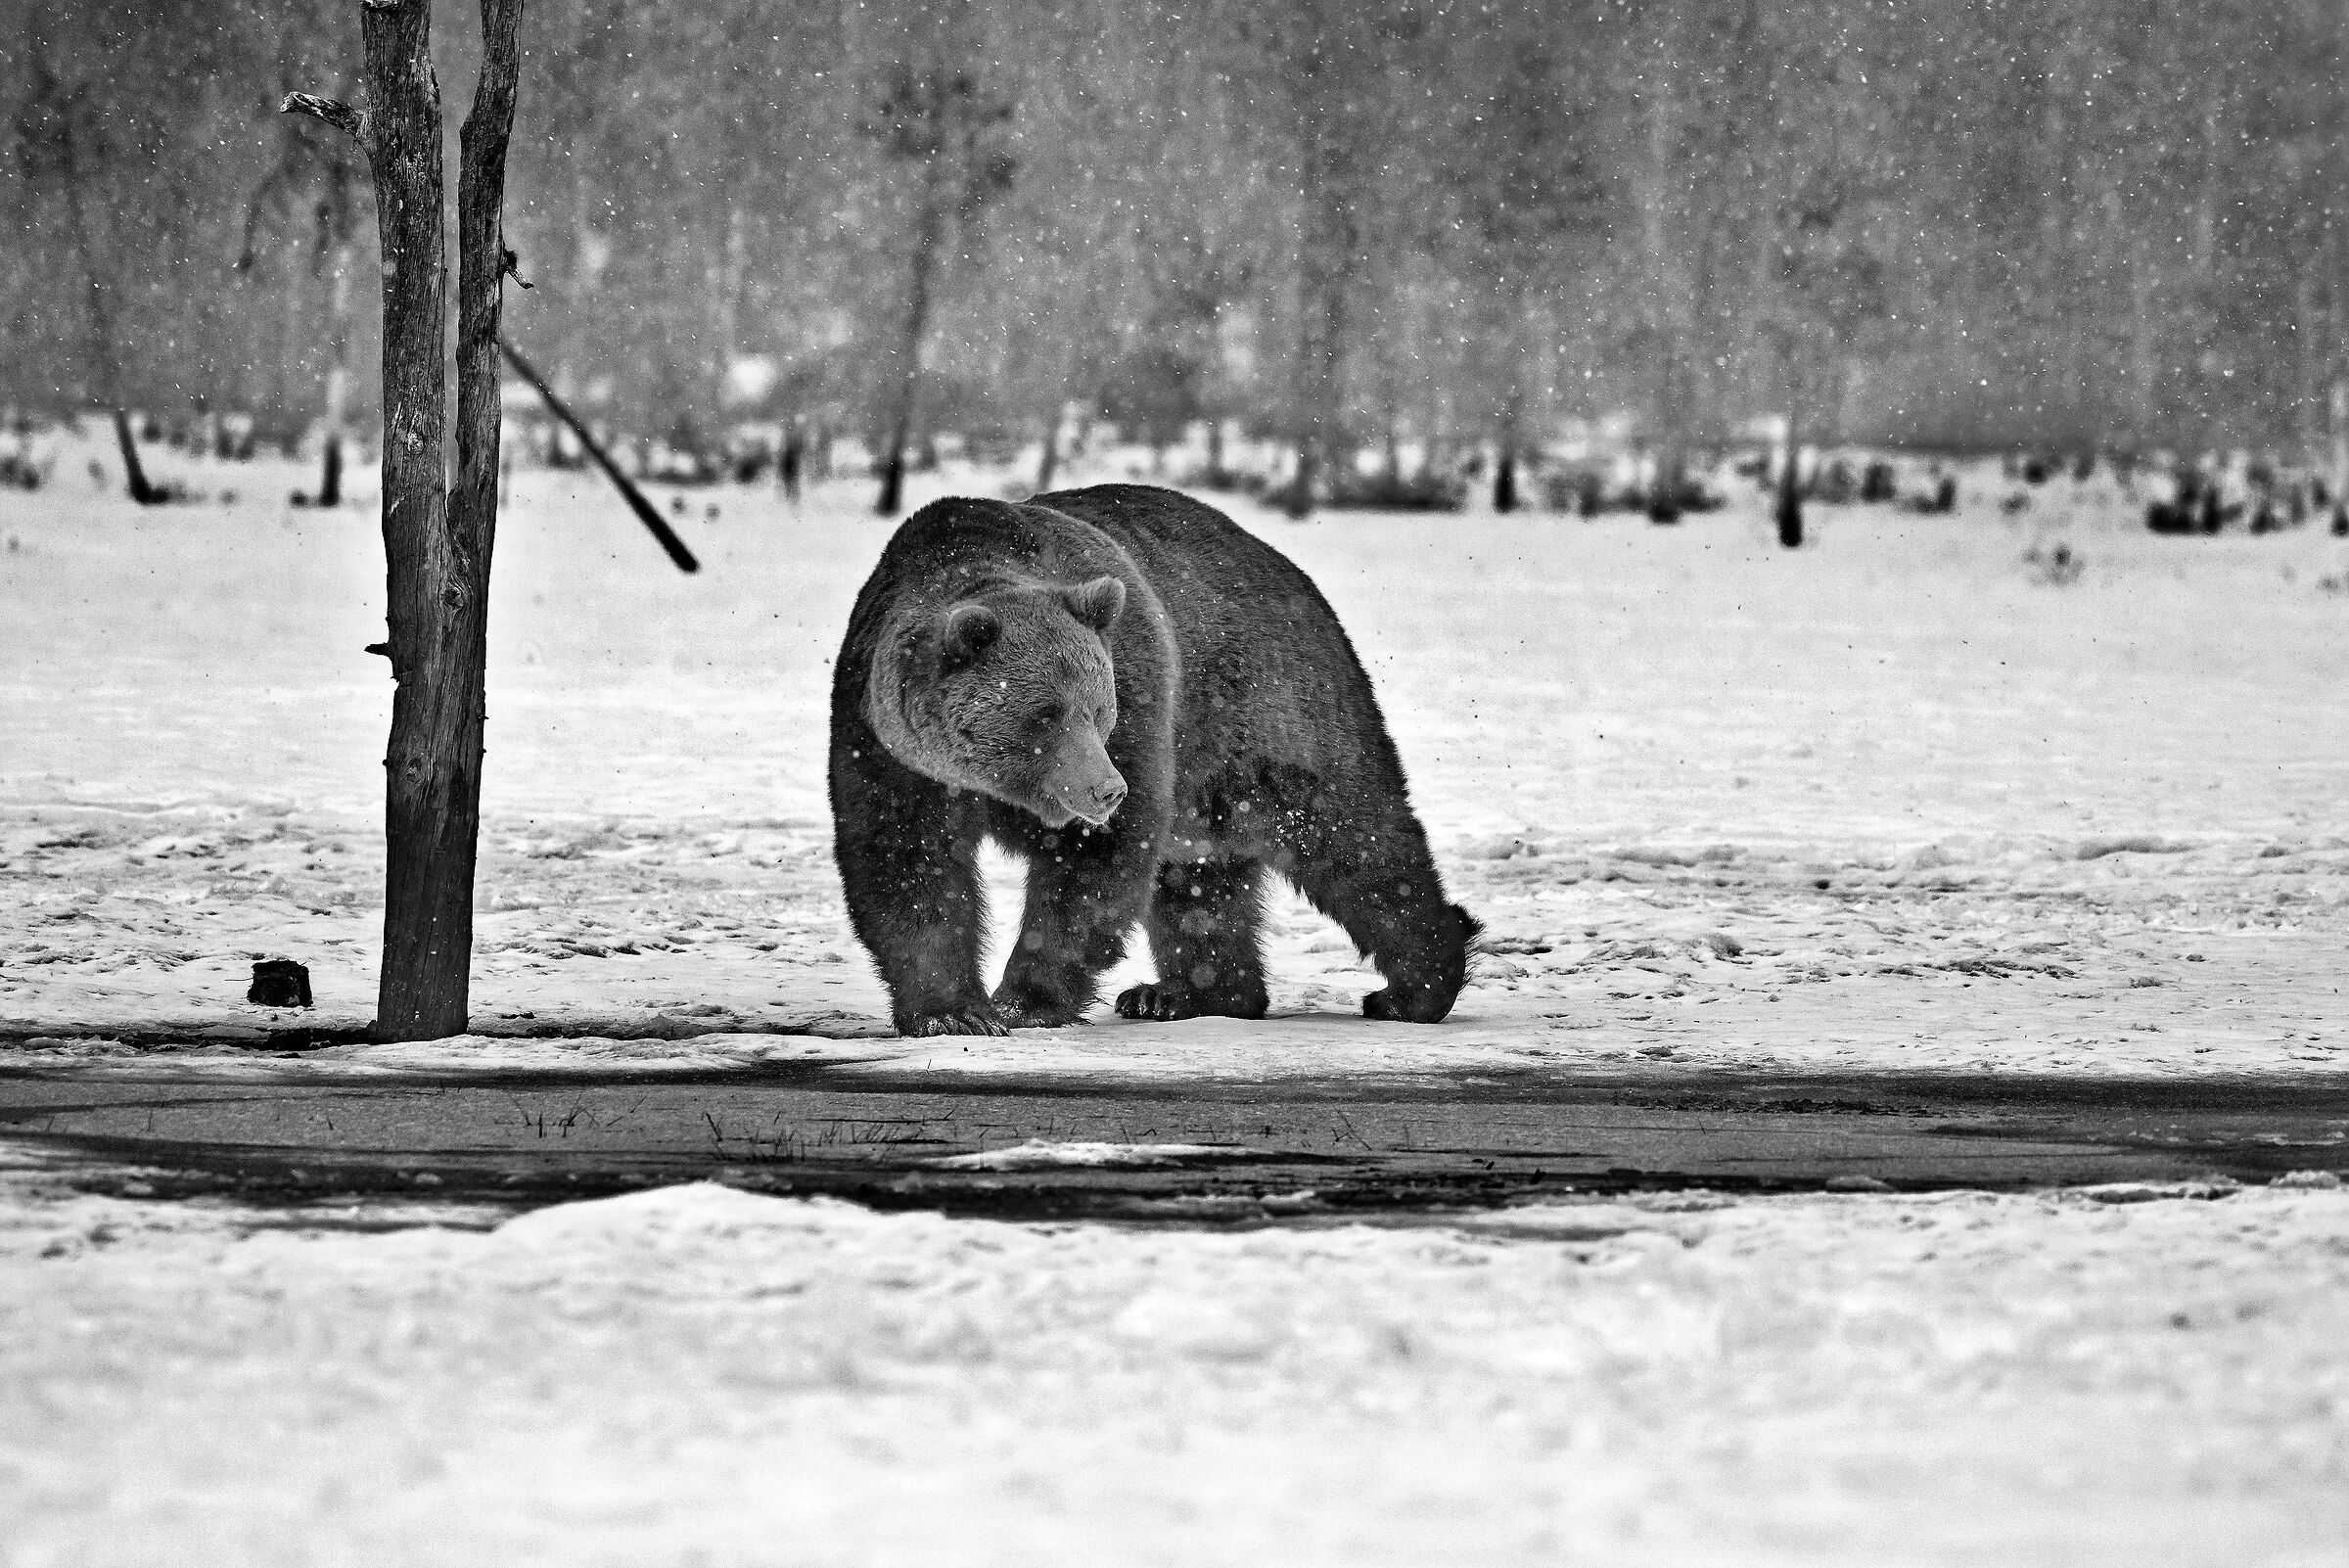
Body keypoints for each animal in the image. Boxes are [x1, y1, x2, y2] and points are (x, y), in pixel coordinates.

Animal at [828, 482, 1479, 1038]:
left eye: (1098, 707)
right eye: (1045, 713)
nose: (1104, 789)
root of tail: (1286, 567)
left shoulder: (1139, 697)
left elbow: (1092, 866)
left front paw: (1023, 1000)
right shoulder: (888, 744)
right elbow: (909, 863)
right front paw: (952, 1011)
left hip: (1267, 710)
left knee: (1353, 839)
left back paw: (1412, 988)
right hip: (1207, 789)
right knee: (1199, 886)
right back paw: (1182, 994)